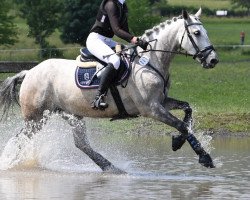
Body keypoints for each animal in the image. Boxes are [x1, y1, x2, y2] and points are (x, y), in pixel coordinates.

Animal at [0, 9, 218, 172]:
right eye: (197, 33)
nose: (213, 60)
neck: (151, 61)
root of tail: (30, 72)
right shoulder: (151, 108)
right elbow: (182, 125)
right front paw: (204, 157)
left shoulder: (161, 102)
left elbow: (187, 110)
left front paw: (177, 142)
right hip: (36, 118)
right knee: (19, 139)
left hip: (69, 114)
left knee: (81, 144)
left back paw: (111, 168)